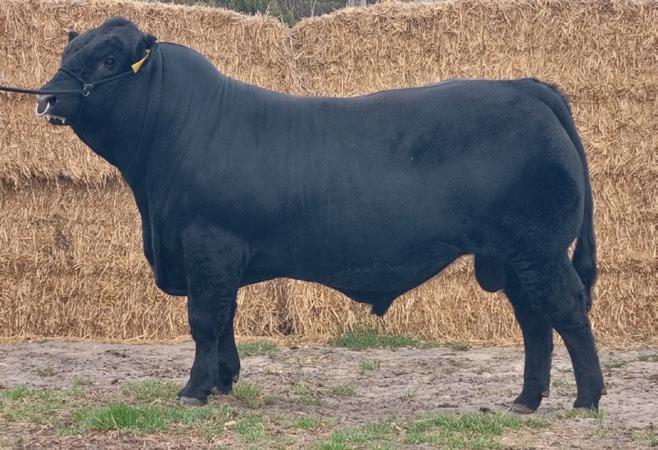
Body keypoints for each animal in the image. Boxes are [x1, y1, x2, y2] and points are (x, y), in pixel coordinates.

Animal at [35, 17, 605, 412]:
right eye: (68, 50)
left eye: (109, 59)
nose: (47, 98)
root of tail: (524, 87)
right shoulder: (216, 258)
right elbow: (225, 320)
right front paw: (223, 381)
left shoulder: (207, 244)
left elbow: (205, 319)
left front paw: (195, 389)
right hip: (513, 257)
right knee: (534, 319)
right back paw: (526, 400)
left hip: (537, 247)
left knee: (567, 309)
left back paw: (587, 398)